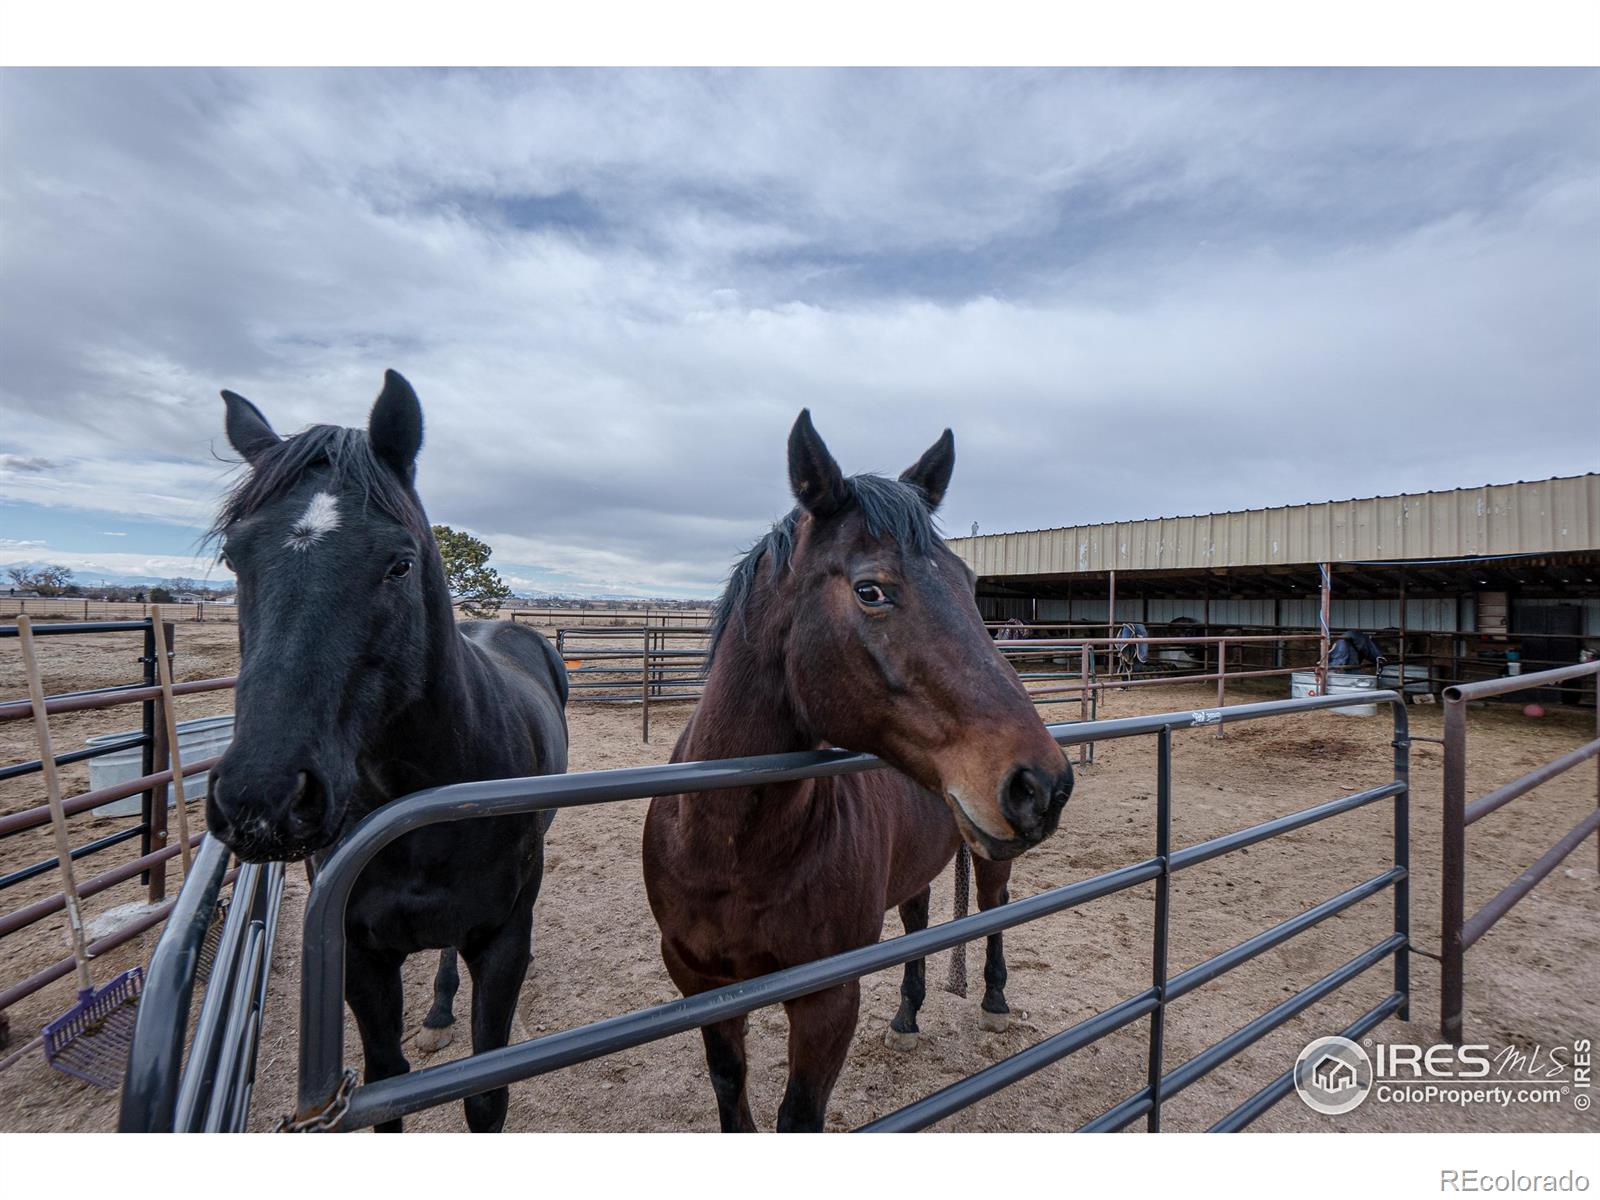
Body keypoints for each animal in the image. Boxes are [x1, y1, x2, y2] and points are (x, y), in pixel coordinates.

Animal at [204, 371, 569, 1132]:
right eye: (233, 556)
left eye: (399, 564)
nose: (262, 797)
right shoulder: (359, 960)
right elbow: (385, 1084)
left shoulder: (502, 943)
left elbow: (487, 1092)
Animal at [640, 412, 1075, 1139]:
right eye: (872, 590)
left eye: (970, 587)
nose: (1044, 785)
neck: (730, 848)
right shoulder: (704, 988)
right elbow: (731, 1092)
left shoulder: (827, 1001)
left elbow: (799, 1116)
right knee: (921, 922)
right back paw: (906, 1016)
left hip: (991, 857)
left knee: (993, 910)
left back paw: (992, 1002)